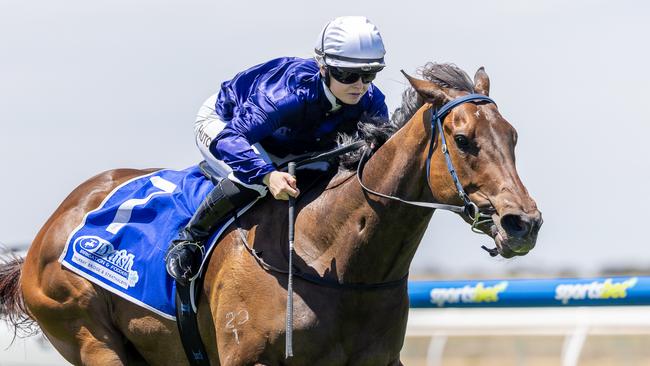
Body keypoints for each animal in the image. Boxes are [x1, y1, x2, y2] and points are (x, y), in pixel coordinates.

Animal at [0, 64, 540, 364]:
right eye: (464, 140)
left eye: (514, 136)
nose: (524, 223)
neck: (331, 257)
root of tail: (52, 227)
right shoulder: (249, 358)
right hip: (90, 337)